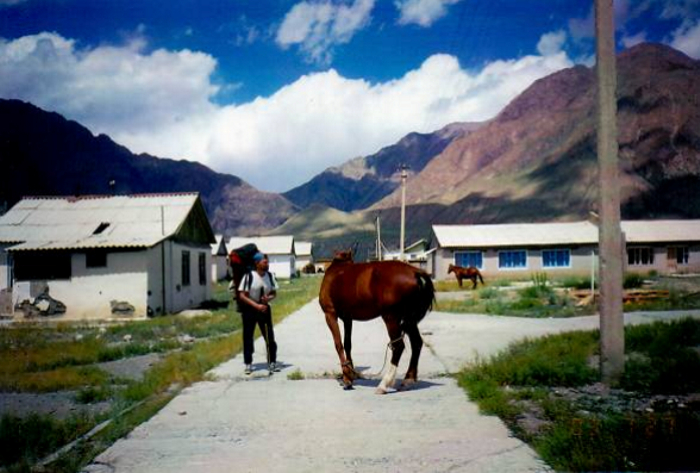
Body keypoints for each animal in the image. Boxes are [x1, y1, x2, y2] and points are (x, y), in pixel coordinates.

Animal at [319, 250, 435, 394]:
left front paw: (347, 379)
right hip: (409, 320)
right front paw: (350, 375)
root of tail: (416, 273)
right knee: (416, 343)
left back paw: (384, 384)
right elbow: (347, 344)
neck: (337, 269)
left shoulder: (330, 315)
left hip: (391, 318)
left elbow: (338, 344)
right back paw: (407, 380)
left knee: (398, 347)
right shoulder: (348, 318)